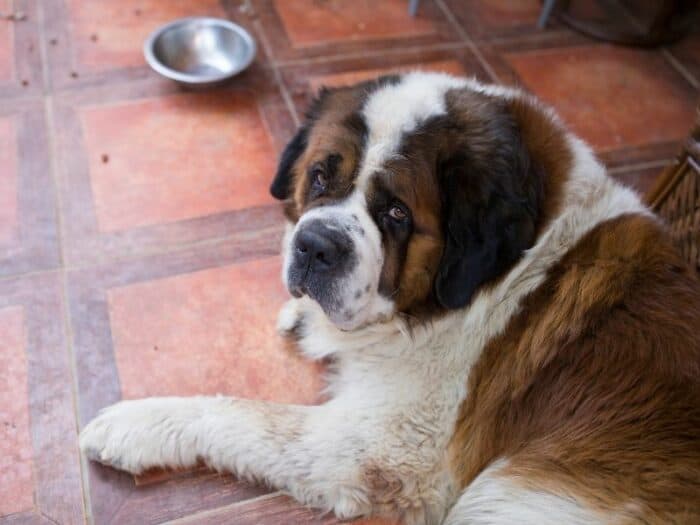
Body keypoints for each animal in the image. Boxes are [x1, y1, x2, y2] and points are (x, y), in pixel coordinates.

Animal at [78, 71, 700, 520]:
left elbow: (241, 413)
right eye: (320, 177)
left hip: (503, 493)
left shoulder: (378, 447)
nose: (315, 246)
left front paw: (135, 425)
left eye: (396, 212)